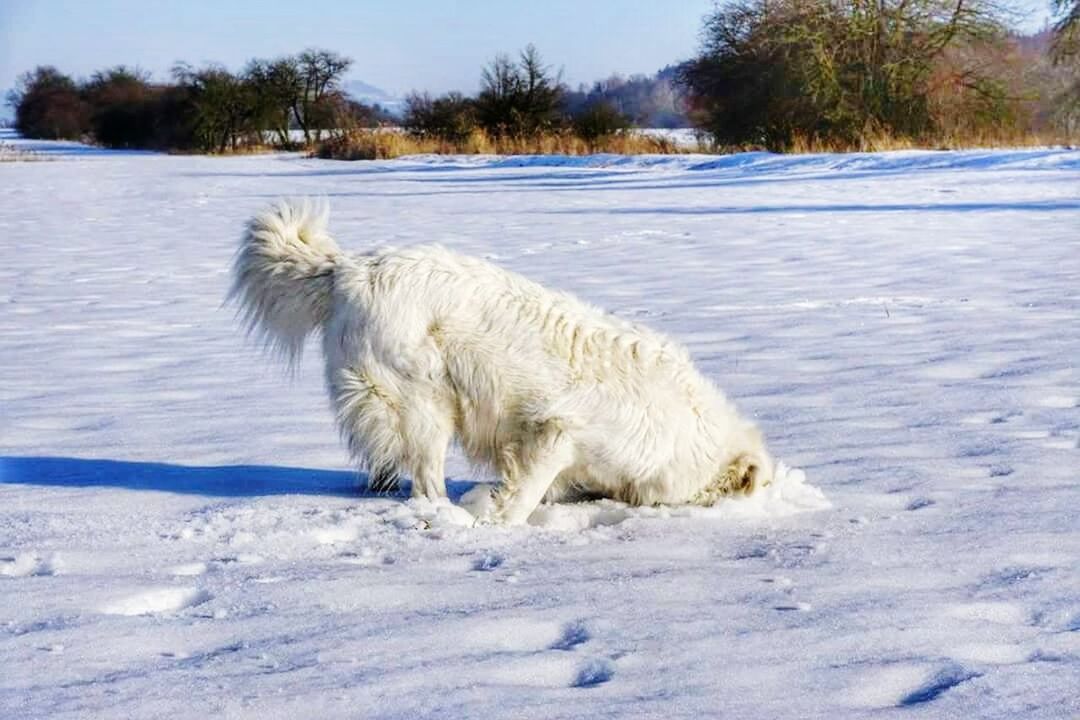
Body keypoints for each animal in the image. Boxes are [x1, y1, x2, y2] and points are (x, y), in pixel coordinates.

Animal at [232, 199, 773, 526]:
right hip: (425, 402)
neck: (692, 432)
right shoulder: (554, 431)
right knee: (425, 477)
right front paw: (499, 523)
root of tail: (347, 267)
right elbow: (527, 490)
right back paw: (445, 515)